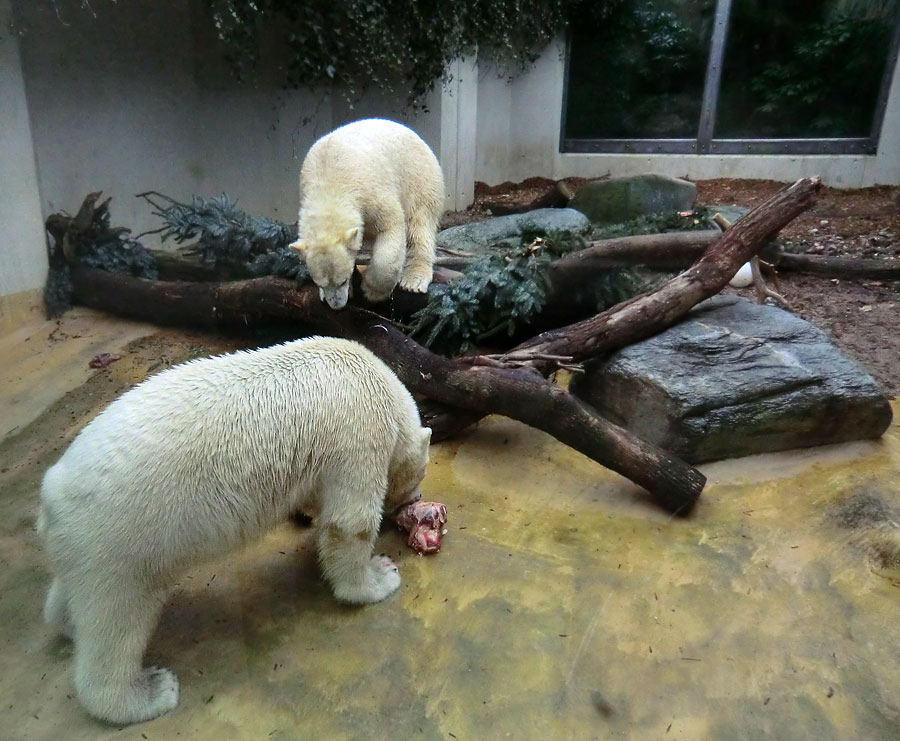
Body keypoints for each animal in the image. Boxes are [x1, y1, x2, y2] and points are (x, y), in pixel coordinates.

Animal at [40, 338, 434, 724]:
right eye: (421, 473)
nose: (415, 500)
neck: (375, 378)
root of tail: (48, 501)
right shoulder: (359, 430)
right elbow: (349, 521)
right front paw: (381, 575)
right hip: (120, 539)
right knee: (117, 620)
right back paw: (148, 692)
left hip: (84, 546)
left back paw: (68, 626)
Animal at [292, 117, 446, 308]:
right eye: (319, 283)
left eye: (342, 280)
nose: (337, 306)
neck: (328, 179)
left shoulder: (370, 189)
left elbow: (391, 226)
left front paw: (372, 291)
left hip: (417, 175)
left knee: (419, 223)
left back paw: (413, 280)